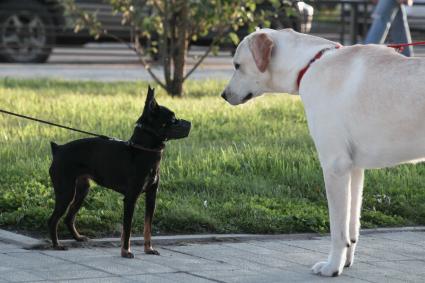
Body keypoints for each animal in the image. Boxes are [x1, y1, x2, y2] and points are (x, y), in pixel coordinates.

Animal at [47, 87, 190, 258]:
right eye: (173, 119)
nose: (189, 123)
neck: (142, 149)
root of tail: (58, 149)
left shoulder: (151, 197)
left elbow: (147, 227)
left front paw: (148, 249)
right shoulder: (130, 199)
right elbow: (127, 228)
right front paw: (126, 251)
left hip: (82, 191)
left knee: (69, 217)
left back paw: (78, 238)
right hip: (66, 192)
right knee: (53, 220)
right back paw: (56, 245)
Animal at [220, 28, 424, 278]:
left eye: (237, 65)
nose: (223, 95)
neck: (309, 64)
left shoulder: (335, 166)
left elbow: (338, 231)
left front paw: (332, 267)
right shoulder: (354, 169)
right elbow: (352, 227)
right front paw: (345, 263)